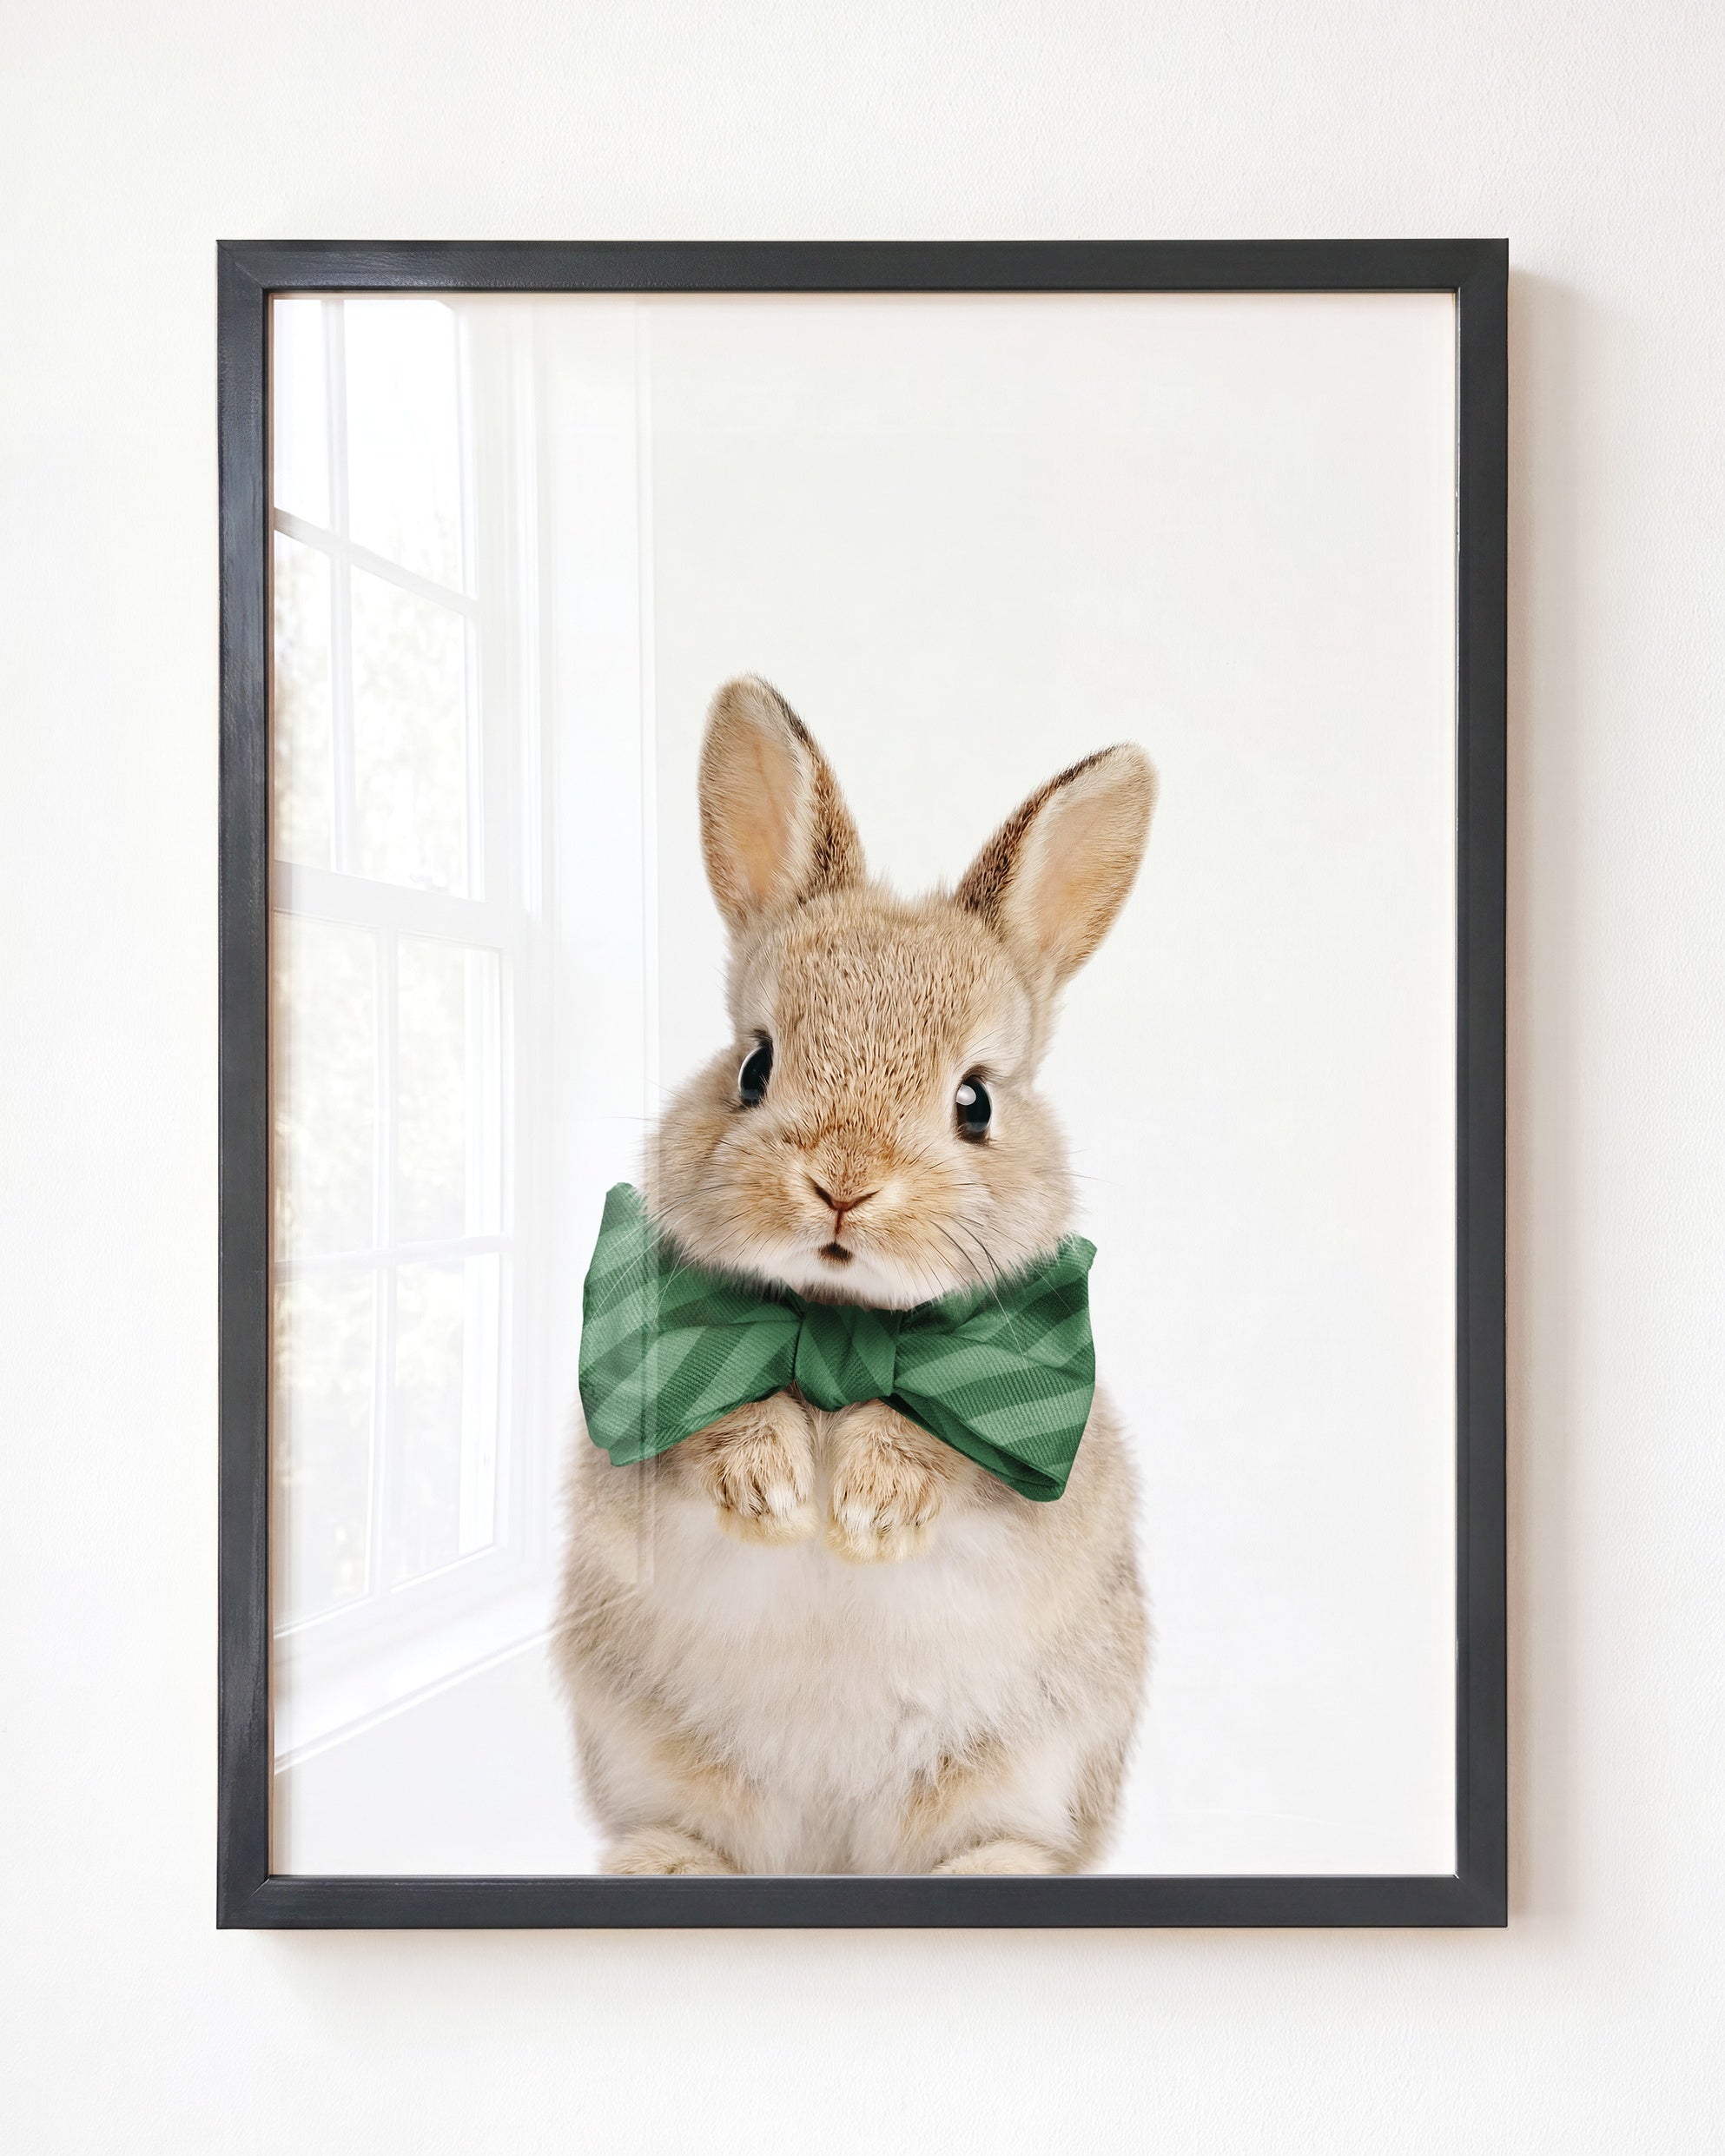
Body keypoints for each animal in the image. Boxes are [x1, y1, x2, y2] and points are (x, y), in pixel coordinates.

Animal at [553, 675, 1155, 1876]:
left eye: (975, 1100)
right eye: (754, 1064)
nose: (843, 1184)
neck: (840, 1322)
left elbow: (951, 1449)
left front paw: (869, 1506)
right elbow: (708, 1427)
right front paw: (777, 1493)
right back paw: (666, 1865)